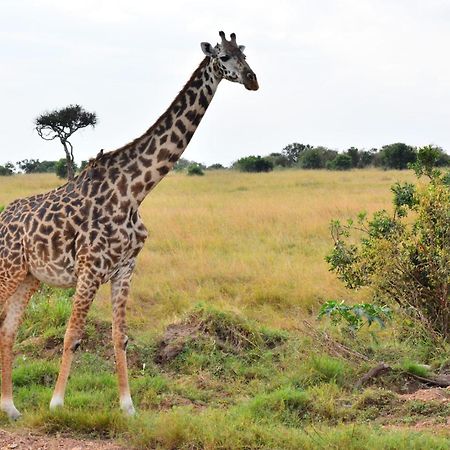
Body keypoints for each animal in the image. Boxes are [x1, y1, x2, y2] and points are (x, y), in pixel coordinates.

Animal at [0, 30, 258, 418]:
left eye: (244, 54)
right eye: (224, 57)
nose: (253, 80)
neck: (135, 190)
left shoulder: (125, 268)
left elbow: (119, 336)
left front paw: (127, 406)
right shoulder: (90, 268)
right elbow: (73, 335)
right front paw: (57, 403)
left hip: (27, 277)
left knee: (7, 330)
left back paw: (10, 407)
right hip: (8, 269)